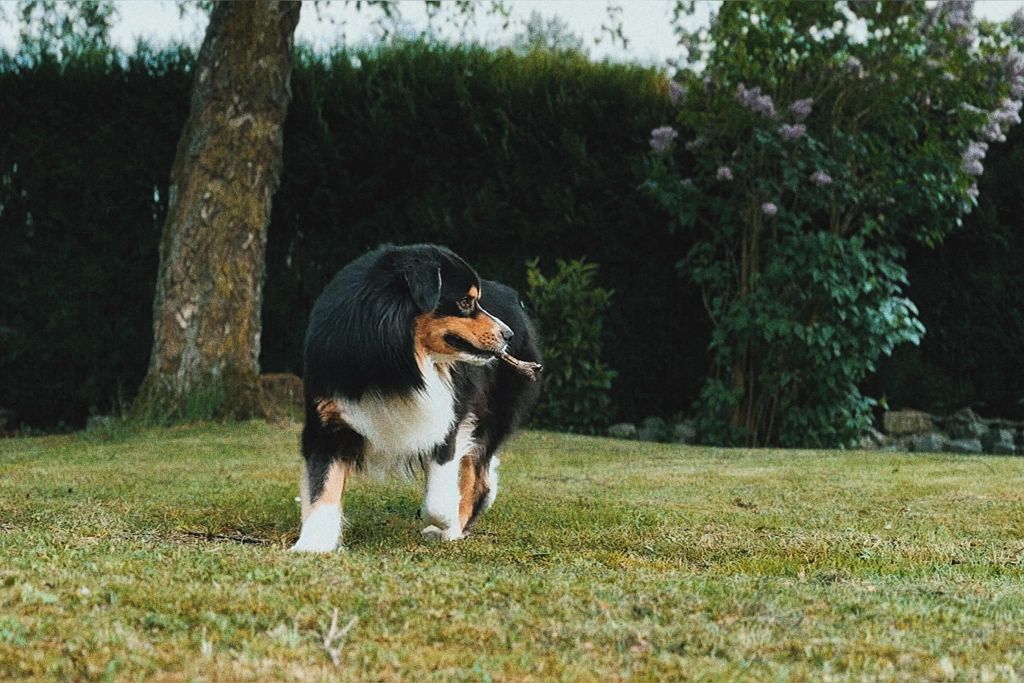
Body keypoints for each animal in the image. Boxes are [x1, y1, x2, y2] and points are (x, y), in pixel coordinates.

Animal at [290, 242, 544, 552]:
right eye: (465, 302)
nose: (508, 334)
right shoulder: (327, 421)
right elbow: (321, 486)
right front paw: (312, 544)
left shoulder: (448, 416)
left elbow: (437, 498)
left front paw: (447, 524)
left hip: (494, 412)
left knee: (479, 476)